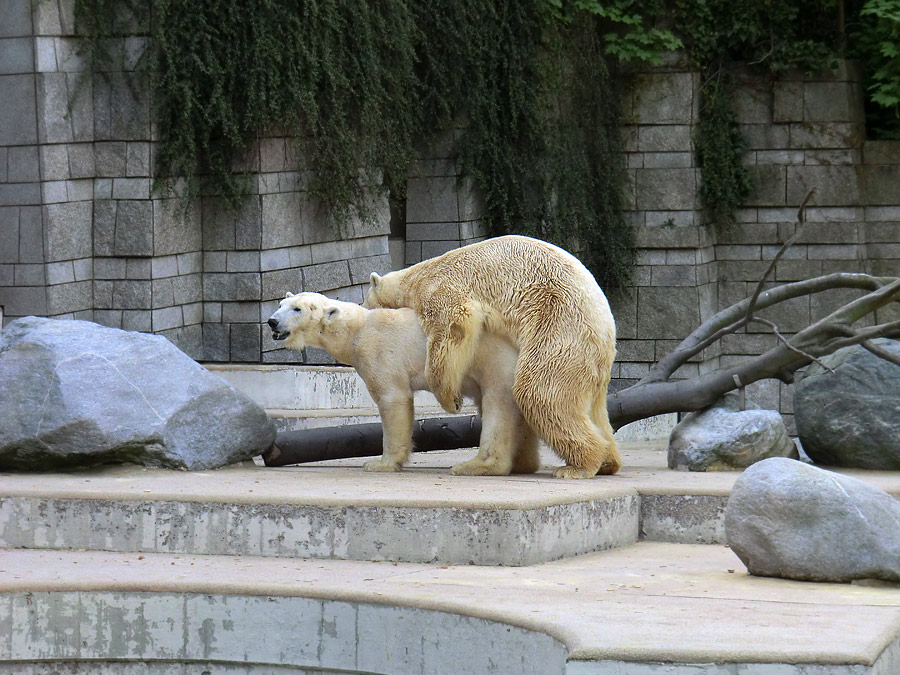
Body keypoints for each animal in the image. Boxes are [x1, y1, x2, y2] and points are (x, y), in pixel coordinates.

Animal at [264, 294, 536, 478]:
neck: (355, 329)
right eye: (280, 305)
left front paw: (380, 464)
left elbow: (393, 398)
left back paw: (476, 466)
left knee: (496, 404)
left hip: (493, 359)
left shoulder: (378, 352)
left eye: (297, 309)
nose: (272, 322)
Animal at [364, 235, 620, 478]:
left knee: (540, 391)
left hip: (560, 326)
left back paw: (578, 466)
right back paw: (608, 461)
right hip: (586, 358)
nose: (362, 306)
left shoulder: (438, 287)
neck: (416, 276)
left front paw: (451, 400)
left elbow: (453, 323)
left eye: (366, 298)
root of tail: (607, 333)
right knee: (591, 408)